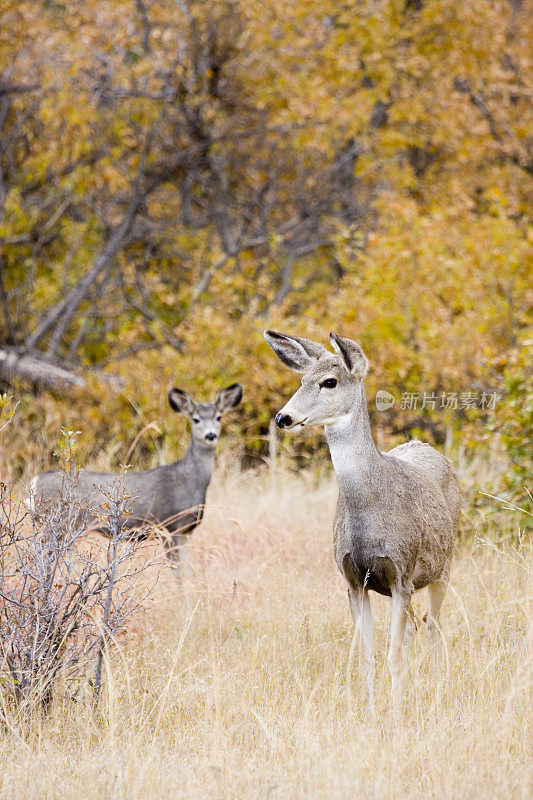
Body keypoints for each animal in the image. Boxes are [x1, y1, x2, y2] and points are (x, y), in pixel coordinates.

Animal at [30, 382, 242, 564]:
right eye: (196, 419)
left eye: (219, 417)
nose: (211, 435)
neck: (191, 480)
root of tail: (34, 482)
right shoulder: (171, 525)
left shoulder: (187, 531)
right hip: (59, 524)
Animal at [264, 328, 460, 716]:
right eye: (301, 380)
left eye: (329, 381)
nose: (283, 418)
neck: (367, 520)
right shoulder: (353, 580)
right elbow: (367, 657)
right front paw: (371, 713)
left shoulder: (400, 572)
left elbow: (394, 658)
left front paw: (396, 717)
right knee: (415, 628)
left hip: (444, 565)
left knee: (433, 625)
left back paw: (437, 689)